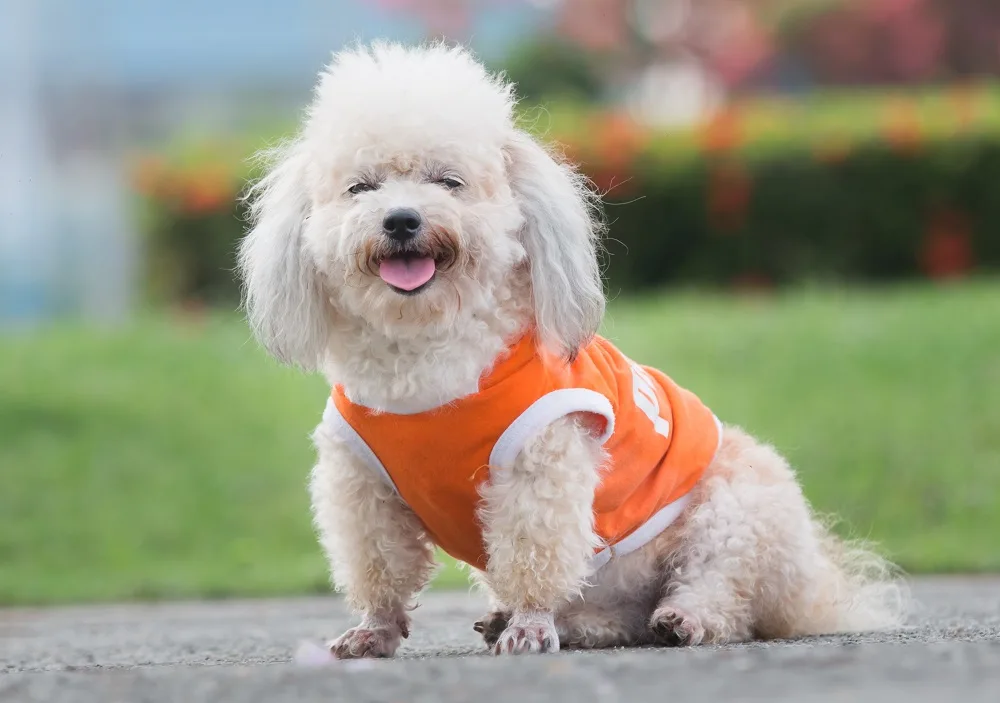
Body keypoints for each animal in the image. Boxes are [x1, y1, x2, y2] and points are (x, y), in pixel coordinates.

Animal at [238, 42, 912, 660]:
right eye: (361, 188)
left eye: (448, 182)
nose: (401, 219)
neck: (426, 354)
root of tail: (813, 584)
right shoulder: (362, 484)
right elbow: (378, 563)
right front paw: (374, 630)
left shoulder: (541, 461)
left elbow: (535, 551)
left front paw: (531, 625)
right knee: (620, 619)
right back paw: (551, 623)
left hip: (736, 514)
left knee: (724, 594)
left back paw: (680, 619)